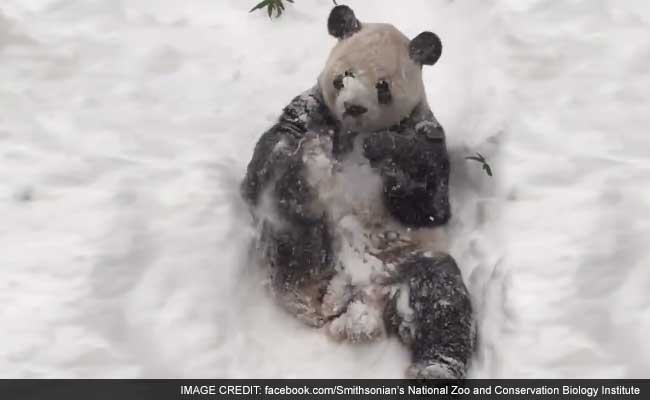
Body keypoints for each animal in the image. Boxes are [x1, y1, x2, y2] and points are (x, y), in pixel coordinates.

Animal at [240, 3, 474, 378]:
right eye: (343, 77)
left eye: (383, 87)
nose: (353, 107)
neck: (353, 133)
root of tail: (358, 303)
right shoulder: (310, 109)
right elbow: (262, 167)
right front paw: (299, 155)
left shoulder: (425, 129)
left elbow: (430, 203)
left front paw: (383, 147)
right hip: (301, 248)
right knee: (295, 241)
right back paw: (307, 177)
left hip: (412, 262)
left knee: (443, 301)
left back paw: (435, 370)